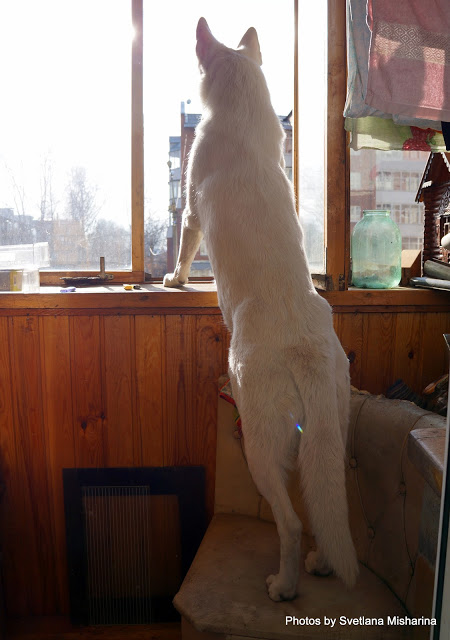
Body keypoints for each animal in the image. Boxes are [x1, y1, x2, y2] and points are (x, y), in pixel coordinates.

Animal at [164, 17, 359, 601]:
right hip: (332, 431)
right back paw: (320, 564)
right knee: (324, 507)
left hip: (259, 442)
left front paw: (173, 278)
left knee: (290, 522)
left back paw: (284, 585)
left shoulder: (190, 209)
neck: (243, 105)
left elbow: (184, 249)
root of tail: (305, 352)